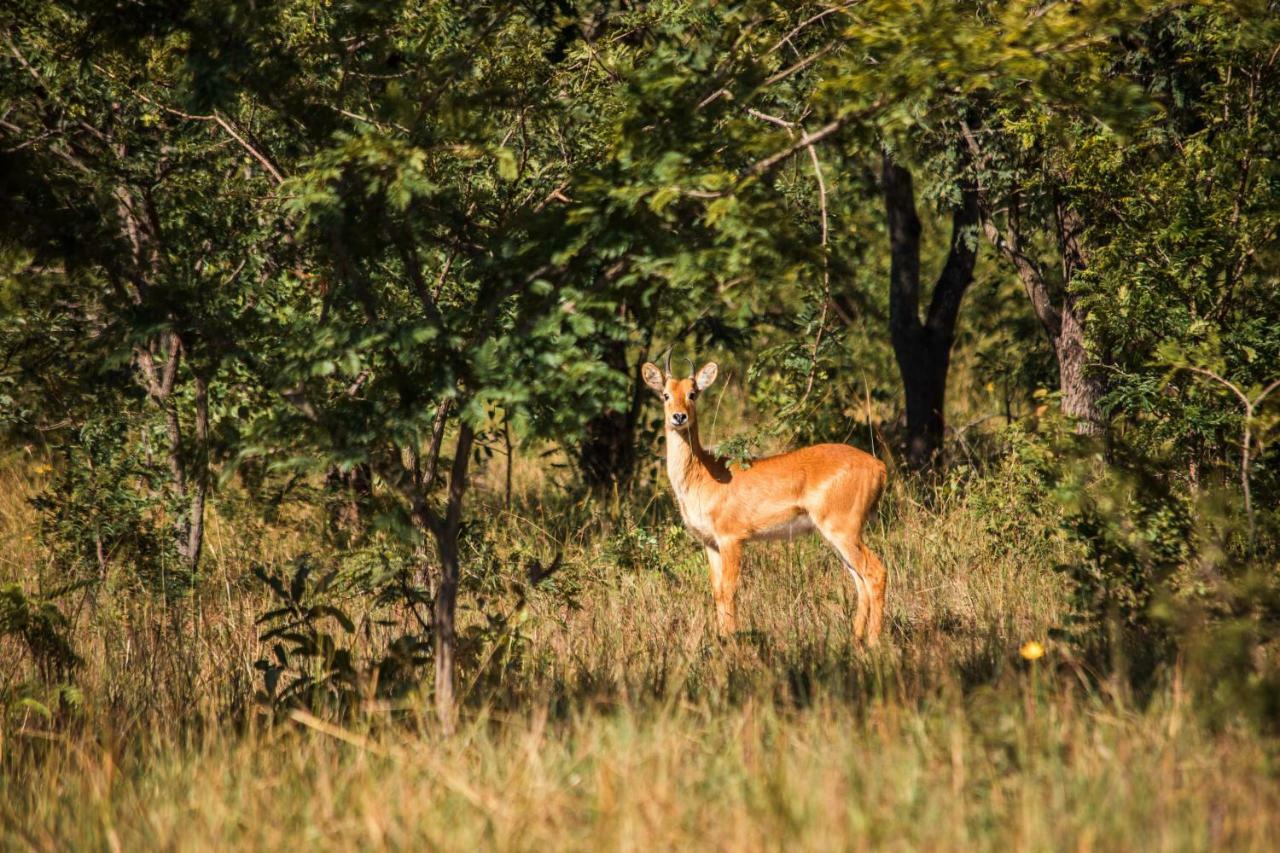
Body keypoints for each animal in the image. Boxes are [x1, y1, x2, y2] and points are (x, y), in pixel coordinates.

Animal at [640, 356, 890, 640]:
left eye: (692, 393)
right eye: (665, 394)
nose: (678, 416)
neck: (703, 474)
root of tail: (878, 466)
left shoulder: (731, 538)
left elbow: (729, 590)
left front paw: (731, 640)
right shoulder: (710, 543)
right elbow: (717, 592)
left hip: (843, 529)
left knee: (875, 572)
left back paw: (874, 641)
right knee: (859, 580)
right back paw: (856, 638)